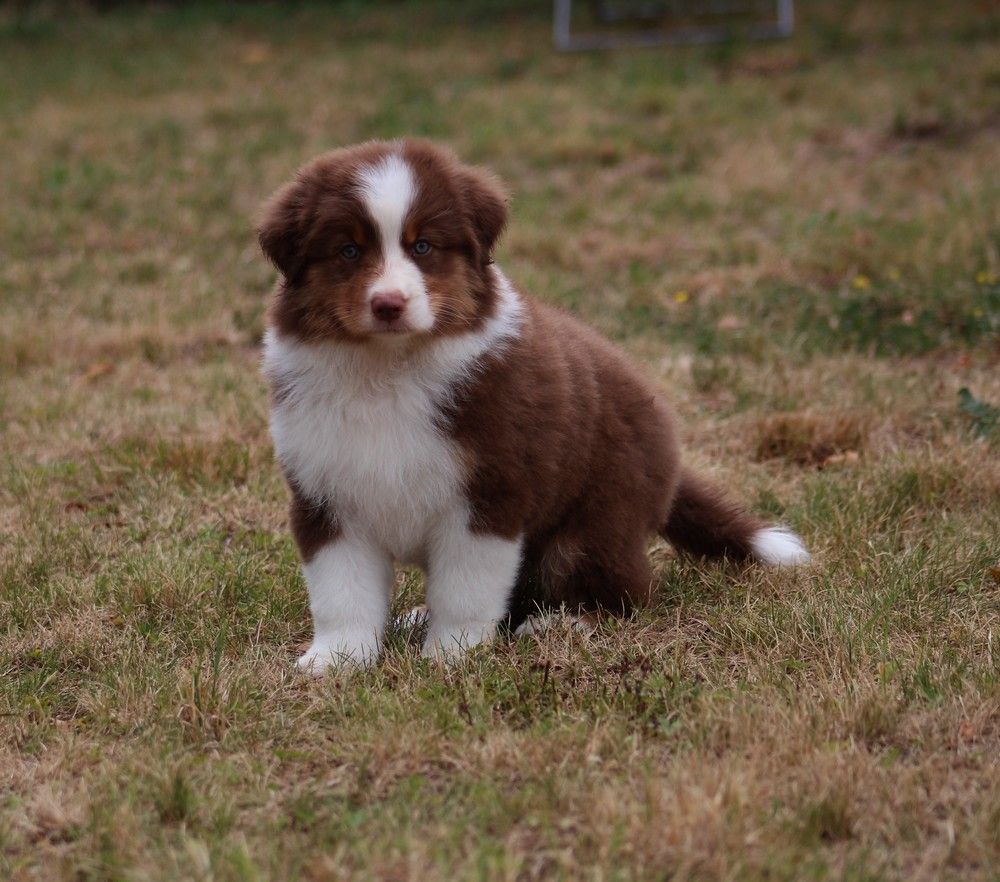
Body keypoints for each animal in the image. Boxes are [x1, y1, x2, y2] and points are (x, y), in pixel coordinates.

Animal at [258, 139, 809, 673]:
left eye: (423, 246)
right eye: (348, 250)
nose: (388, 304)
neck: (387, 370)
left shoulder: (490, 493)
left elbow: (466, 589)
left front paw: (451, 655)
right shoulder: (326, 494)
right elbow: (341, 593)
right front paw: (336, 660)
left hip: (597, 521)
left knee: (627, 591)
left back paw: (560, 623)